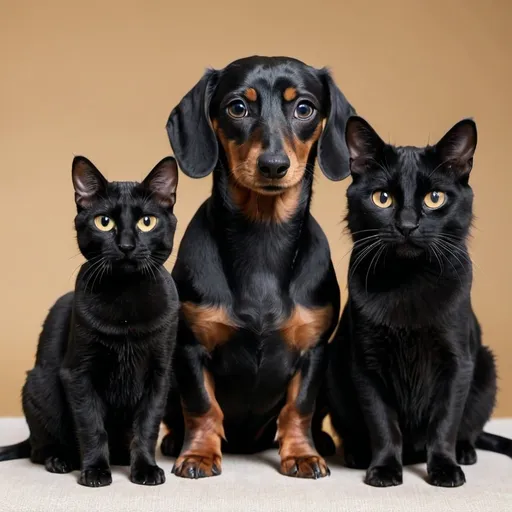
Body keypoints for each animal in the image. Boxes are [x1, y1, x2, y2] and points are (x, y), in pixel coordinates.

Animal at [0, 157, 180, 488]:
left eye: (146, 222)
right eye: (104, 222)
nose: (126, 245)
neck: (125, 299)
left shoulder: (159, 375)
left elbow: (147, 426)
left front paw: (145, 469)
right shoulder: (78, 374)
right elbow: (91, 426)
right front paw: (95, 471)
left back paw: (121, 458)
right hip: (39, 387)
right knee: (39, 449)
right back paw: (61, 460)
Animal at [326, 116, 510, 488]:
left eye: (434, 198)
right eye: (382, 198)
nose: (408, 224)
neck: (408, 283)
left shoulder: (457, 364)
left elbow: (445, 424)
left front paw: (444, 468)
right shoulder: (366, 365)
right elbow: (383, 424)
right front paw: (384, 468)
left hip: (485, 366)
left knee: (468, 428)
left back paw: (465, 453)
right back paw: (356, 454)